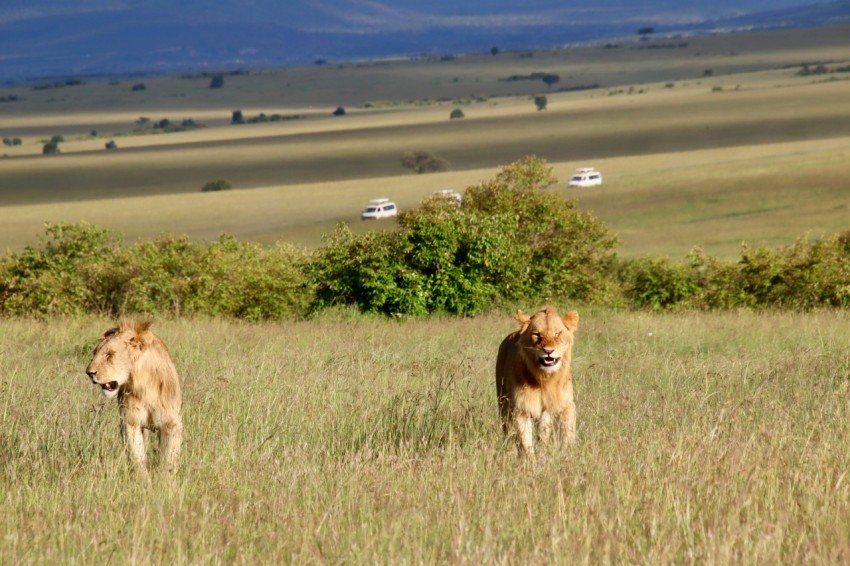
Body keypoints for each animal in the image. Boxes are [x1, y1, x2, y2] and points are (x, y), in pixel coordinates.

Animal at [85, 322, 182, 478]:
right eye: (94, 353)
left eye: (109, 354)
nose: (89, 373)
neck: (144, 387)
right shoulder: (130, 423)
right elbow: (137, 458)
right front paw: (143, 481)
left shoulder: (172, 423)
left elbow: (169, 458)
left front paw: (165, 479)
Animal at [494, 306, 580, 458]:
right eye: (536, 334)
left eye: (557, 333)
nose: (548, 351)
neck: (545, 378)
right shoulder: (520, 409)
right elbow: (525, 443)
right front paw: (530, 461)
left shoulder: (558, 406)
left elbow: (554, 434)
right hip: (503, 404)